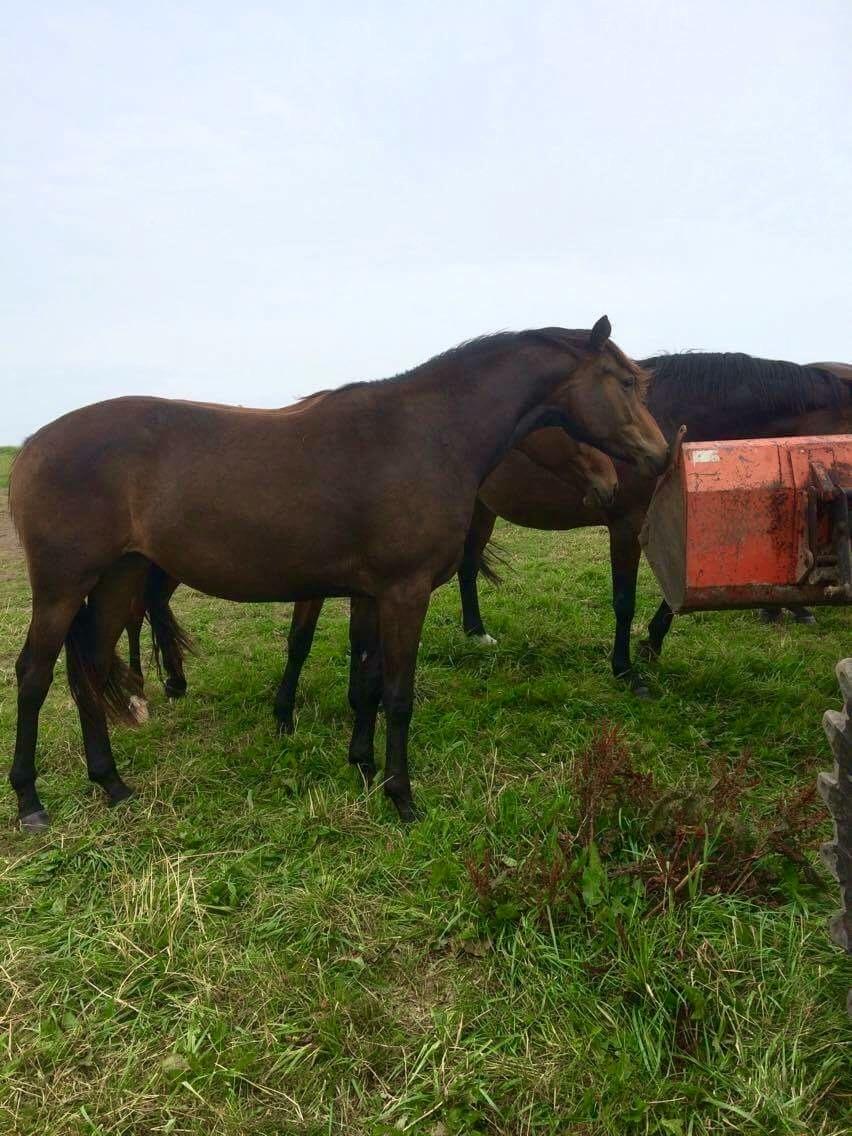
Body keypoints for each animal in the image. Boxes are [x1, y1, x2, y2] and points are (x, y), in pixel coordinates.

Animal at [8, 315, 672, 831]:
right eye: (625, 383)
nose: (658, 456)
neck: (426, 436)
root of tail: (34, 444)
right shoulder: (404, 593)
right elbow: (399, 694)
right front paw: (402, 797)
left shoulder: (372, 594)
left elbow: (369, 683)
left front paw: (364, 765)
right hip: (63, 587)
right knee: (35, 674)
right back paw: (30, 800)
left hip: (118, 578)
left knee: (88, 668)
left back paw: (111, 782)